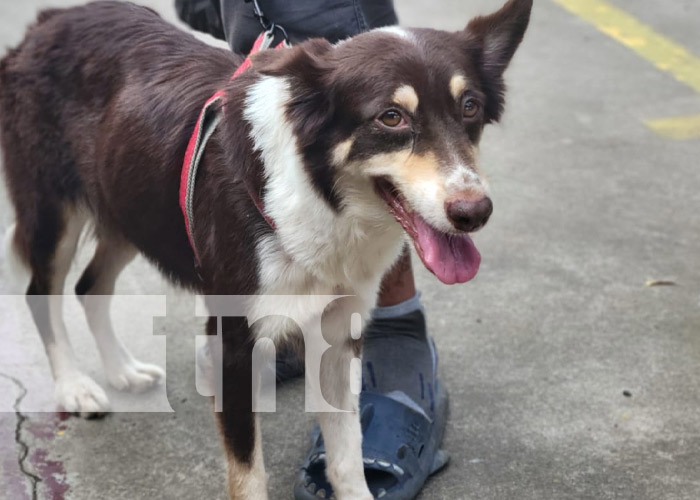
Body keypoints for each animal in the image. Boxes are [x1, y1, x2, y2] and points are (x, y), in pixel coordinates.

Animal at [0, 0, 532, 496]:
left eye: (470, 107)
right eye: (391, 117)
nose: (474, 212)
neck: (320, 194)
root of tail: (49, 20)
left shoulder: (340, 333)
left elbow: (348, 456)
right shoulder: (233, 345)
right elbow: (248, 473)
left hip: (131, 205)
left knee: (90, 287)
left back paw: (121, 371)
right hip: (55, 213)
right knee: (42, 294)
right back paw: (74, 386)